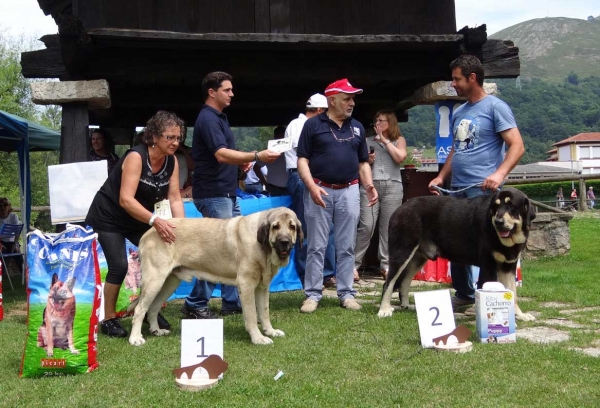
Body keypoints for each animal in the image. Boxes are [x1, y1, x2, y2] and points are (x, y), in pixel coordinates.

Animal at [128, 209, 302, 346]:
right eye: (275, 226)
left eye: (292, 226)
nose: (284, 242)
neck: (264, 249)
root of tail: (148, 233)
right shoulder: (246, 285)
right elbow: (252, 315)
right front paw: (258, 338)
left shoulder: (262, 287)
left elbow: (264, 311)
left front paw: (270, 331)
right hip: (155, 280)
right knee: (139, 309)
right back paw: (135, 338)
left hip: (169, 282)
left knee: (153, 307)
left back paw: (156, 330)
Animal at [378, 188, 536, 322]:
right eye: (495, 207)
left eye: (511, 206)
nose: (498, 222)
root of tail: (401, 207)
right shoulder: (488, 265)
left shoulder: (508, 266)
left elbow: (513, 294)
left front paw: (519, 315)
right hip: (401, 253)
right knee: (388, 283)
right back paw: (384, 310)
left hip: (417, 259)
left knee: (404, 282)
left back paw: (406, 305)